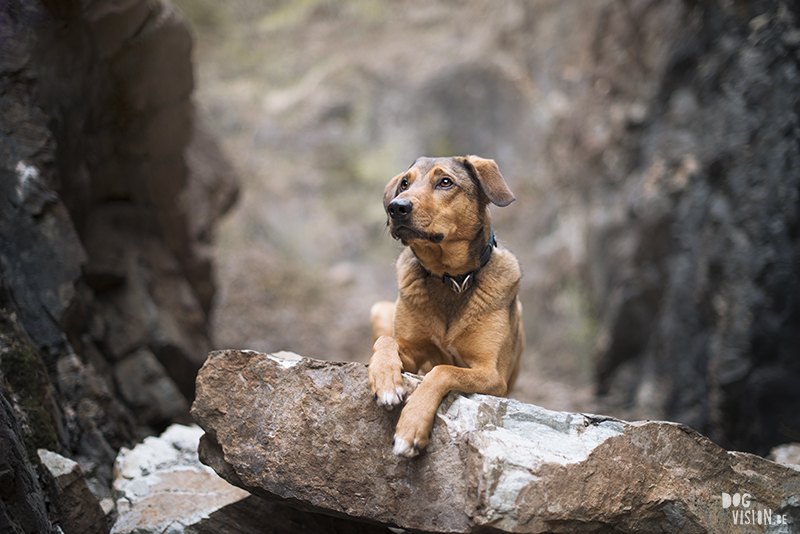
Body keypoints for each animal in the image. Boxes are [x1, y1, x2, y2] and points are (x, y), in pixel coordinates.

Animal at [370, 157, 524, 458]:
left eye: (445, 182)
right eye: (404, 183)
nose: (397, 207)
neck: (451, 279)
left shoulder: (492, 375)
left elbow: (442, 370)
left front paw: (411, 426)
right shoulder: (411, 356)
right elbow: (386, 341)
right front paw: (384, 381)